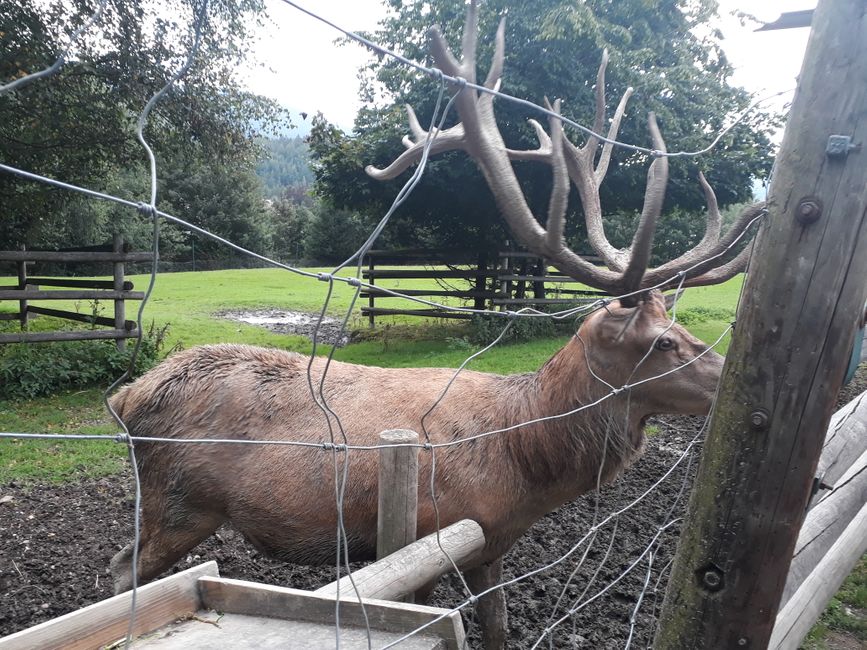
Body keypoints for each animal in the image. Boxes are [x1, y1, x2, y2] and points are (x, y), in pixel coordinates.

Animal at [110, 2, 768, 644]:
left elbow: (498, 627)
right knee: (125, 571)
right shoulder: (427, 538)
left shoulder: (490, 543)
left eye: (680, 328)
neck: (524, 456)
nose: (730, 381)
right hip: (180, 501)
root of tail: (126, 398)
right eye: (663, 342)